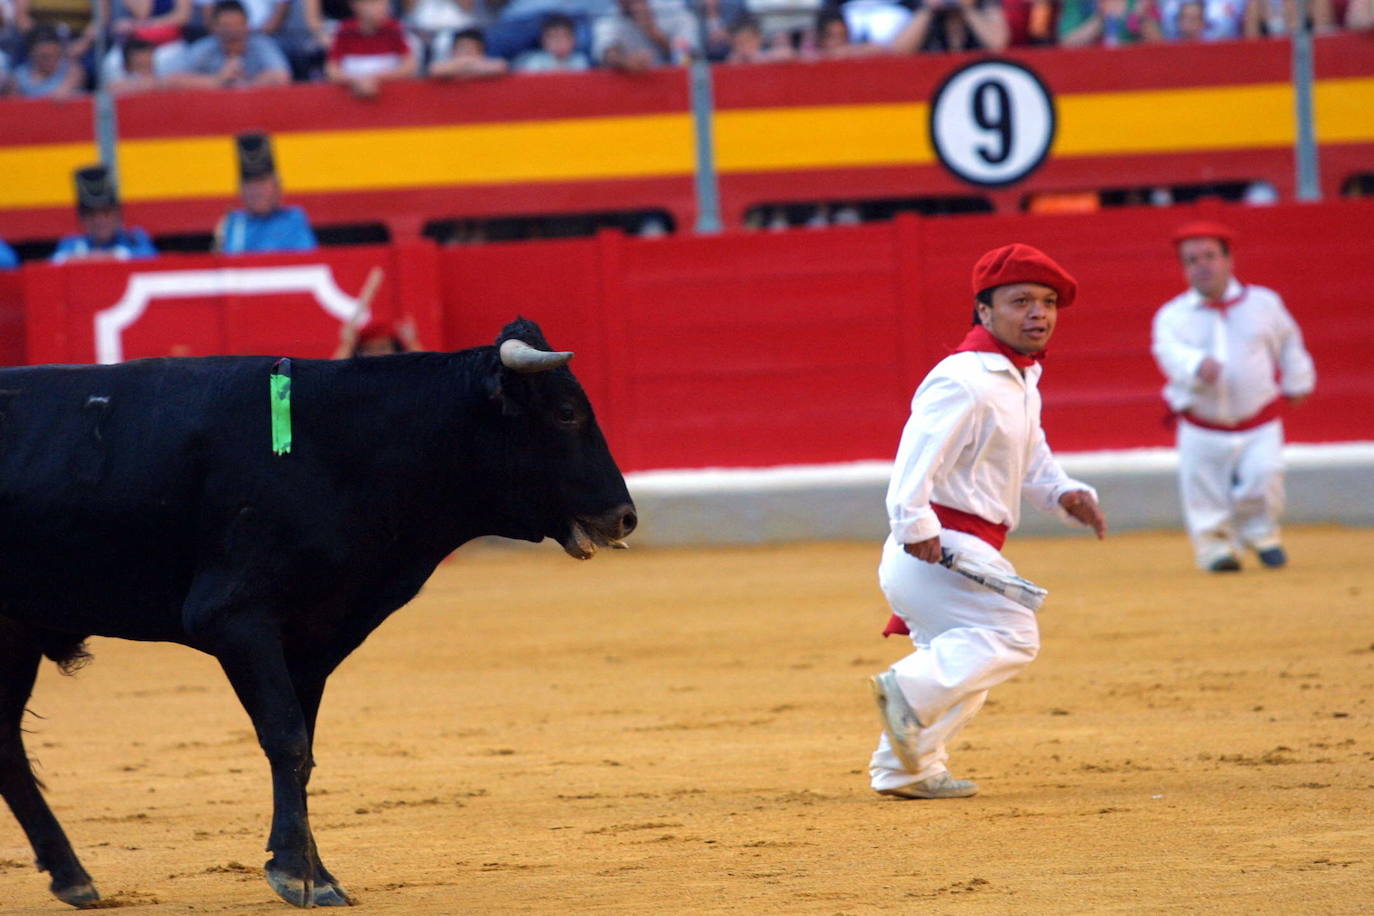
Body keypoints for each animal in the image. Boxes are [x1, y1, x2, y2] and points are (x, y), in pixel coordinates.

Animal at [0, 318, 632, 906]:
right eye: (567, 413)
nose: (625, 516)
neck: (341, 447)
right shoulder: (236, 619)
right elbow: (286, 738)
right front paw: (297, 875)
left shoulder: (313, 638)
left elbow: (304, 750)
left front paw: (315, 873)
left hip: (15, 635)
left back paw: (73, 877)